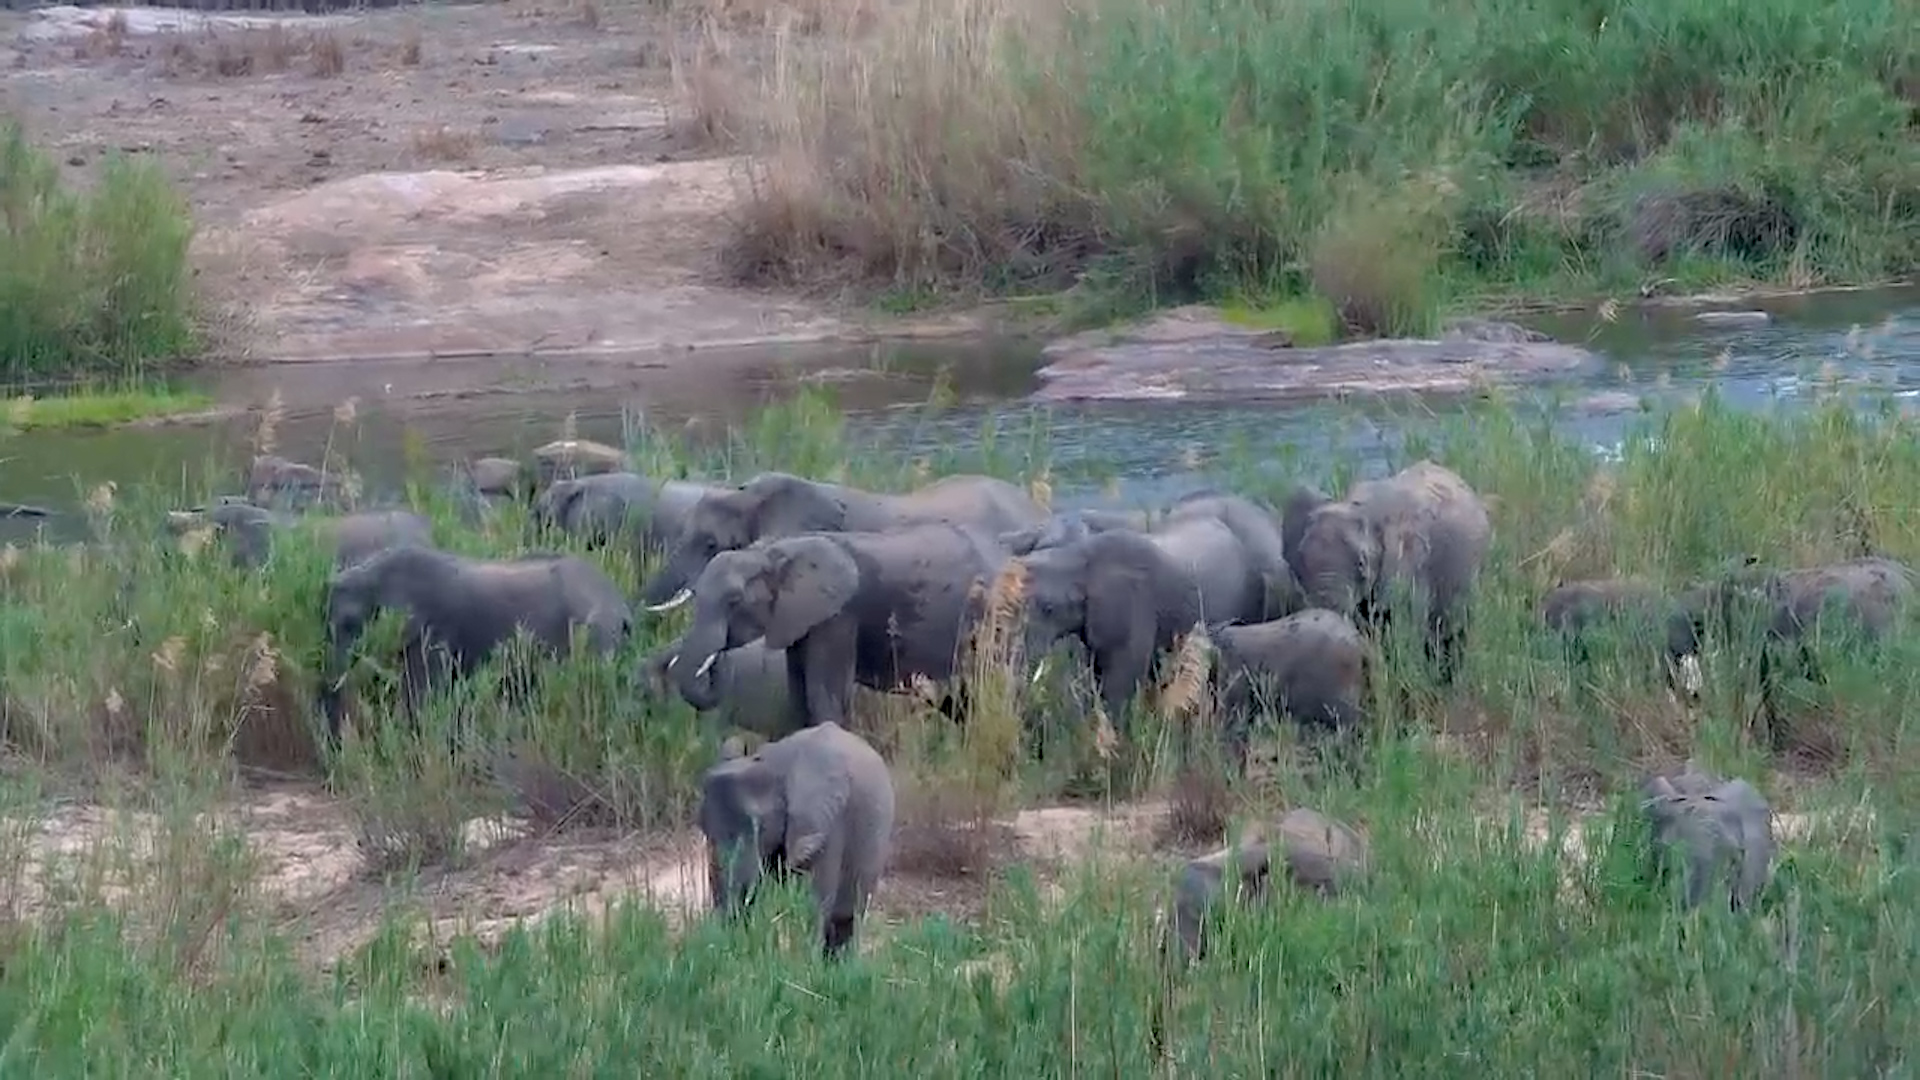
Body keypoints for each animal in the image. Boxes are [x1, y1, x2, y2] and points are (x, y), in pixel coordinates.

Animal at [317, 546, 633, 744]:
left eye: (350, 624)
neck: (371, 571)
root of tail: (621, 605)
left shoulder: (433, 629)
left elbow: (421, 694)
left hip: (594, 634)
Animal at [670, 523, 1006, 731]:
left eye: (734, 600)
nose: (714, 663)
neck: (773, 551)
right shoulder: (801, 618)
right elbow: (799, 695)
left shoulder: (839, 615)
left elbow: (823, 695)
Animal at [699, 720, 896, 958]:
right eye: (702, 827)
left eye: (759, 828)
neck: (775, 767)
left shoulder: (825, 823)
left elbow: (812, 901)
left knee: (847, 920)